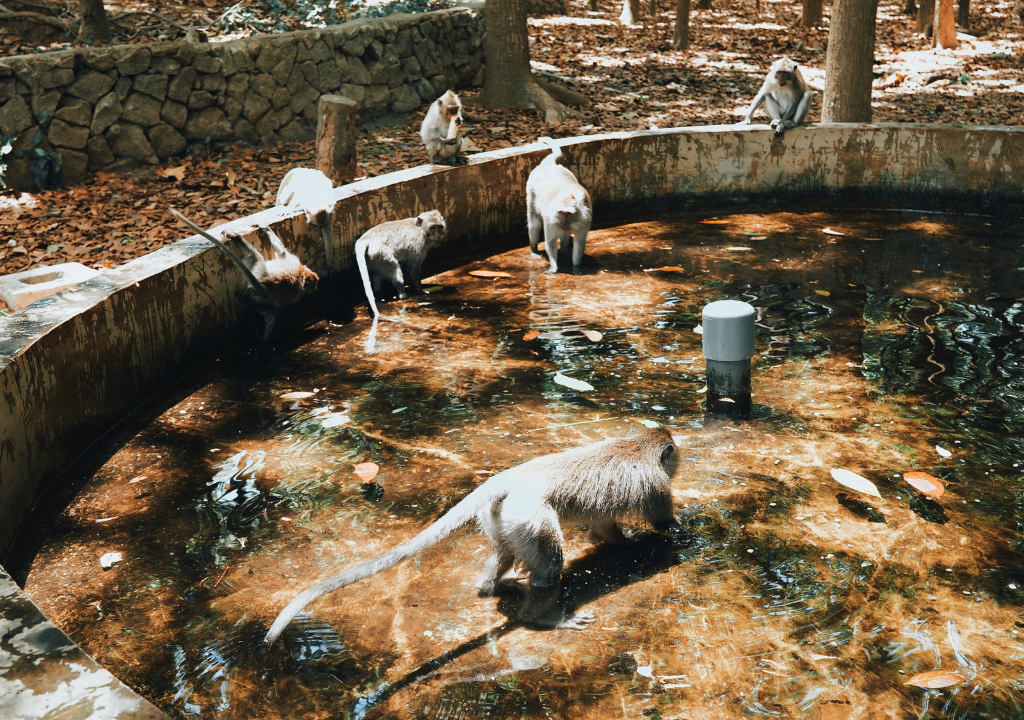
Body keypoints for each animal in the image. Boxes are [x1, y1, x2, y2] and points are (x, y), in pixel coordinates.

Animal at [171, 209, 318, 342]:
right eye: (315, 284)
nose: (316, 287)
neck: (300, 277)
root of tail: (266, 287)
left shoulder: (290, 260)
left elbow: (281, 251)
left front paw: (263, 227)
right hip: (262, 302)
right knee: (264, 313)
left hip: (258, 272)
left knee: (255, 256)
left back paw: (236, 237)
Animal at [264, 425, 680, 646]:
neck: (640, 445)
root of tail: (509, 478)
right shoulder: (657, 485)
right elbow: (657, 522)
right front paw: (657, 535)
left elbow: (604, 528)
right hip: (529, 513)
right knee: (549, 566)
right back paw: (545, 616)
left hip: (503, 515)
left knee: (507, 551)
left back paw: (492, 585)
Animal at [526, 137, 593, 274]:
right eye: (561, 212)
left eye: (568, 213)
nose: (563, 222)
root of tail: (549, 165)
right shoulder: (550, 219)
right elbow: (550, 242)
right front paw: (554, 267)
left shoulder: (585, 219)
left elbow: (579, 242)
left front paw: (576, 267)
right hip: (531, 190)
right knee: (535, 223)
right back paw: (534, 250)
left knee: (563, 234)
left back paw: (564, 250)